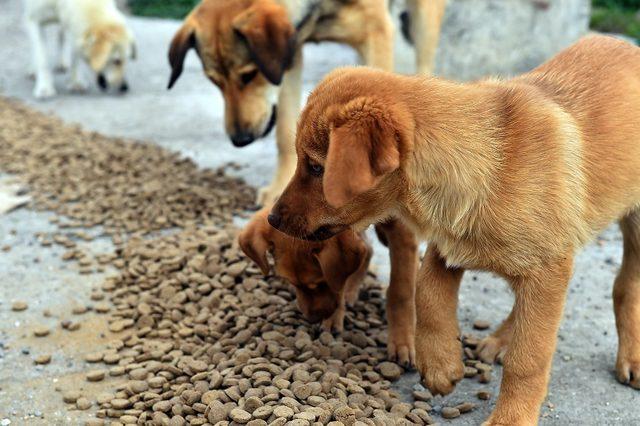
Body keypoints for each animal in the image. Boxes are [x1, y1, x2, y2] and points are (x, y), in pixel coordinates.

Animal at [165, 0, 444, 206]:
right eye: (214, 81)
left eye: (249, 75)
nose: (240, 140)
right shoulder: (289, 54)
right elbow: (285, 131)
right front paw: (281, 186)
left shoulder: (376, 32)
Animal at [240, 208, 420, 364]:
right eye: (292, 283)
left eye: (320, 282)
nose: (312, 318)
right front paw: (334, 317)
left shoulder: (403, 232)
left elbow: (400, 291)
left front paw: (402, 342)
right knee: (367, 249)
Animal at [268, 35, 640, 424]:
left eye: (315, 167)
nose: (272, 219)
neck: (493, 162)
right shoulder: (449, 245)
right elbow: (427, 292)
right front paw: (441, 367)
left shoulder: (548, 268)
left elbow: (529, 357)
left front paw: (512, 417)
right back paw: (500, 340)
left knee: (625, 285)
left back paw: (629, 356)